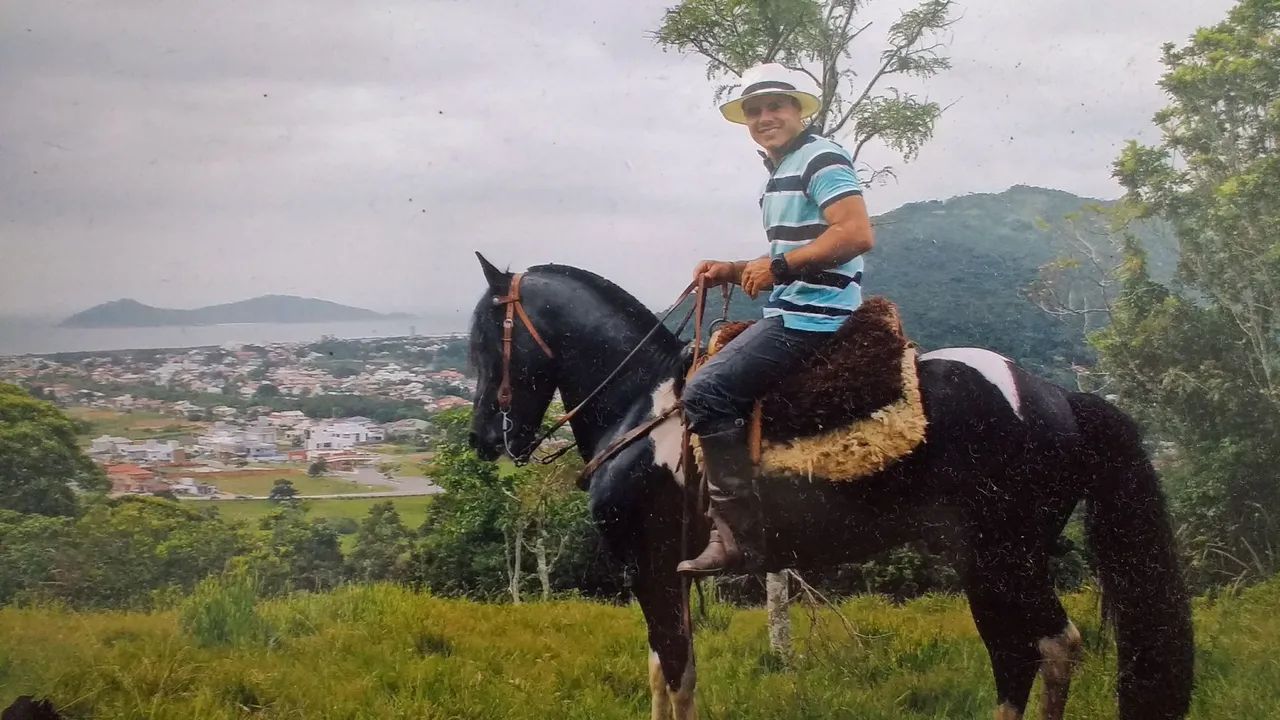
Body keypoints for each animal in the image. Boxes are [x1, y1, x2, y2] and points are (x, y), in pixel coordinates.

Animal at [466, 255, 1193, 720]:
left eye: (483, 342)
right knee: (1014, 657)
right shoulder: (663, 573)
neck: (641, 407)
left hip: (1006, 557)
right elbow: (666, 671)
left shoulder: (650, 566)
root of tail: (1058, 398)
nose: (481, 440)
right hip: (986, 562)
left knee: (1053, 647)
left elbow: (675, 674)